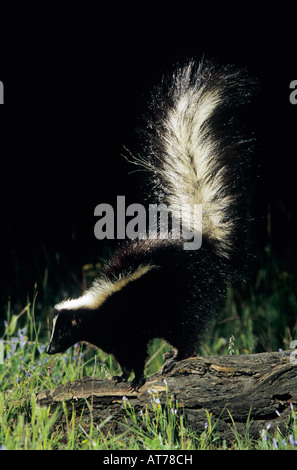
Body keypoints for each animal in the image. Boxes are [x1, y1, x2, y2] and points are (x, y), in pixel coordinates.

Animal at [47, 58, 256, 390]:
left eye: (63, 331)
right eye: (54, 330)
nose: (49, 349)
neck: (97, 307)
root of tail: (205, 244)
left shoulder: (127, 325)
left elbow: (136, 352)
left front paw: (137, 379)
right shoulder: (113, 335)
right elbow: (120, 355)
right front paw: (120, 376)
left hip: (185, 297)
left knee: (187, 330)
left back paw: (176, 357)